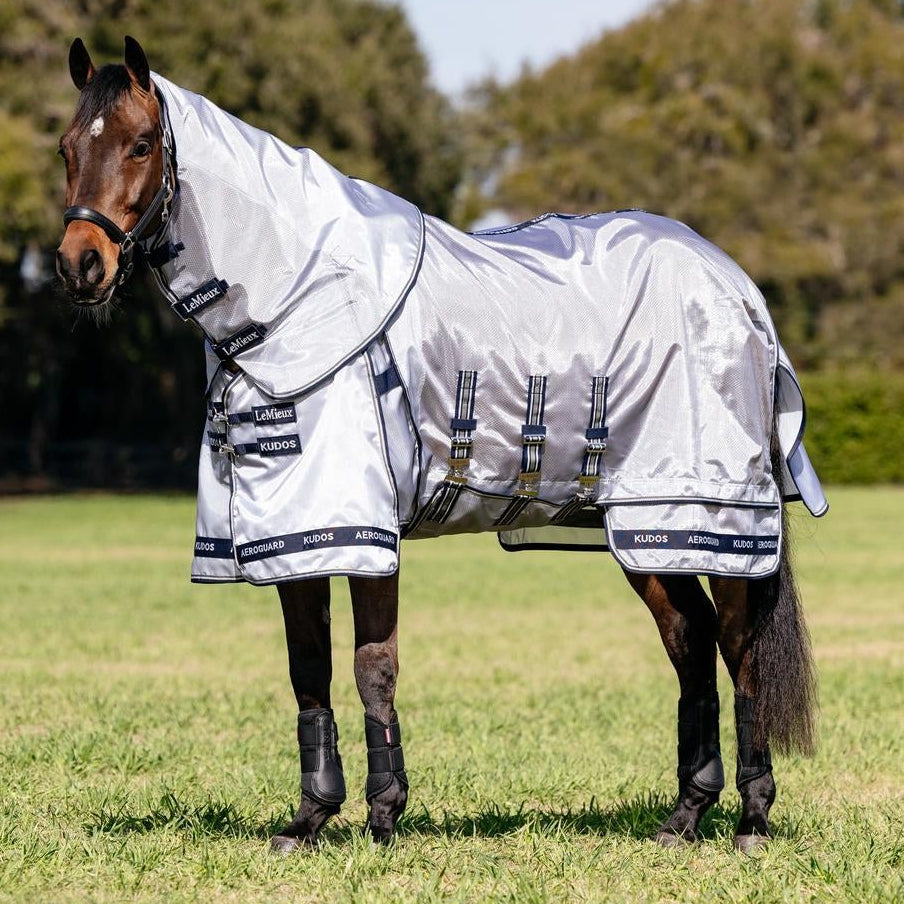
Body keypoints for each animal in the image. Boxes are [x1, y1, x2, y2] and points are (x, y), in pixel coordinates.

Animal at [56, 36, 824, 853]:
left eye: (141, 143)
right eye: (68, 146)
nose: (80, 265)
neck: (298, 299)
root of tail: (738, 287)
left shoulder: (360, 529)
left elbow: (373, 665)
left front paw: (382, 815)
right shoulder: (289, 531)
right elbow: (307, 668)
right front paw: (310, 818)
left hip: (709, 516)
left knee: (740, 653)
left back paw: (750, 819)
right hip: (644, 529)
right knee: (692, 643)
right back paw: (684, 816)